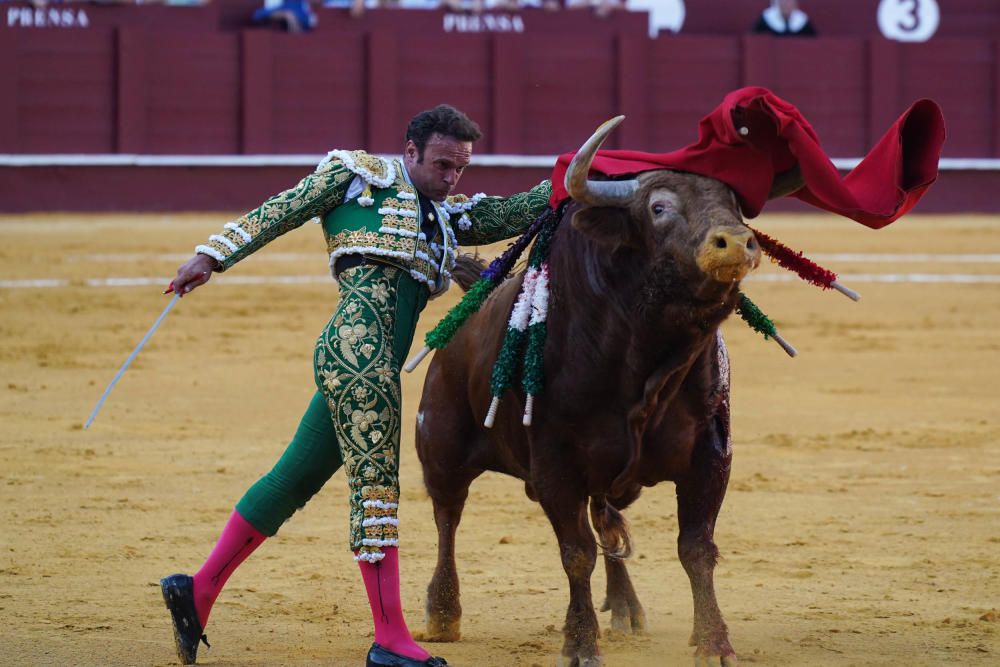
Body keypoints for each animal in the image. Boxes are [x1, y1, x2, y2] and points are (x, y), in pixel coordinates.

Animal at [410, 117, 792, 664]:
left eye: (736, 206)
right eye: (658, 208)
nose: (737, 243)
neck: (647, 355)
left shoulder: (711, 456)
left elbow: (696, 548)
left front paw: (713, 641)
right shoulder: (555, 464)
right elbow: (576, 554)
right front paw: (580, 643)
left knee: (603, 520)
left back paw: (626, 605)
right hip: (440, 443)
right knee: (448, 515)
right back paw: (443, 612)